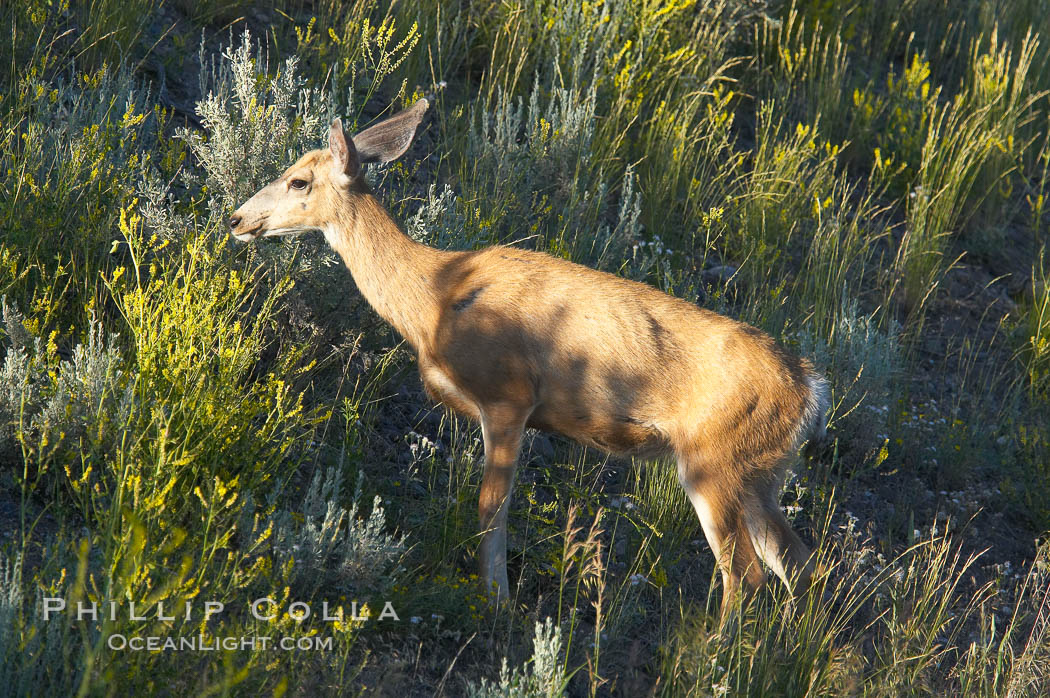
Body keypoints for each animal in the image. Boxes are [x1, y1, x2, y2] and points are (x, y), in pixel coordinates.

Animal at [227, 99, 827, 621]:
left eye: (298, 181)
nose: (236, 219)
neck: (433, 297)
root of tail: (808, 388)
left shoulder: (508, 394)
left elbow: (490, 507)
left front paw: (497, 603)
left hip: (715, 460)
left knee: (746, 573)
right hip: (762, 470)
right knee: (799, 561)